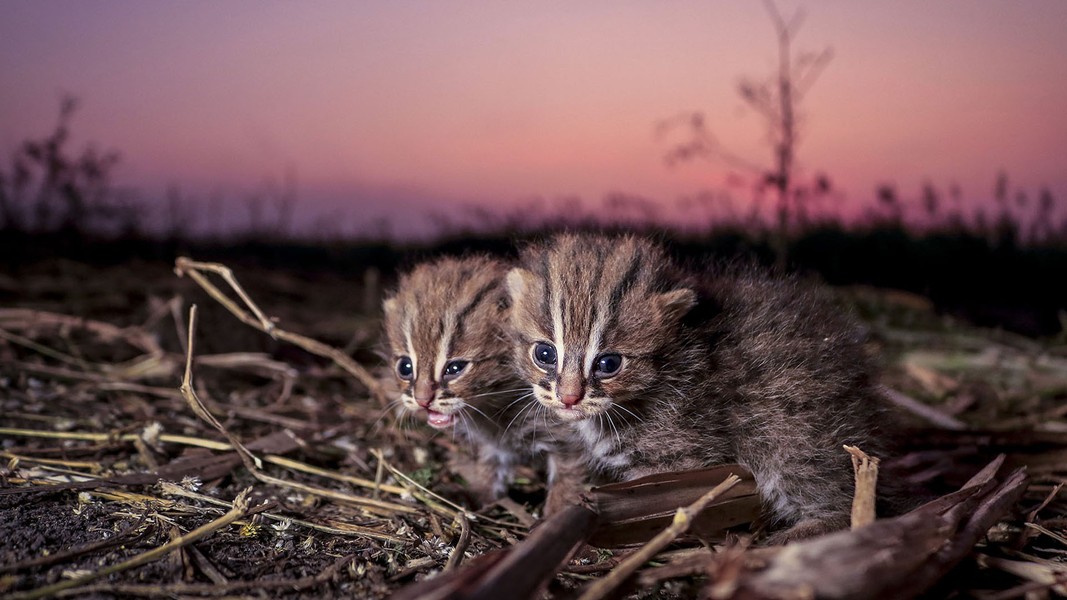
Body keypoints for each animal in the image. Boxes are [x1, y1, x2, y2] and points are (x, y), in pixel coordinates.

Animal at [507, 234, 892, 542]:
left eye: (609, 363)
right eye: (544, 354)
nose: (569, 398)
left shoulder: (681, 459)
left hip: (789, 439)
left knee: (843, 503)